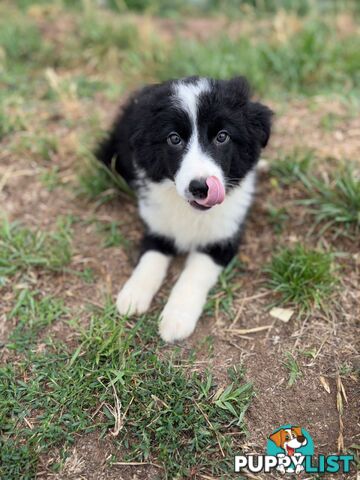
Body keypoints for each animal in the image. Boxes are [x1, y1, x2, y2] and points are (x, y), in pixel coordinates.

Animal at [97, 76, 272, 342]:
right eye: (174, 139)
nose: (200, 187)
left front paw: (176, 319)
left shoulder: (222, 239)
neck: (191, 212)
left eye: (222, 136)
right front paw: (133, 294)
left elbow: (193, 275)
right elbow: (150, 257)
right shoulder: (157, 226)